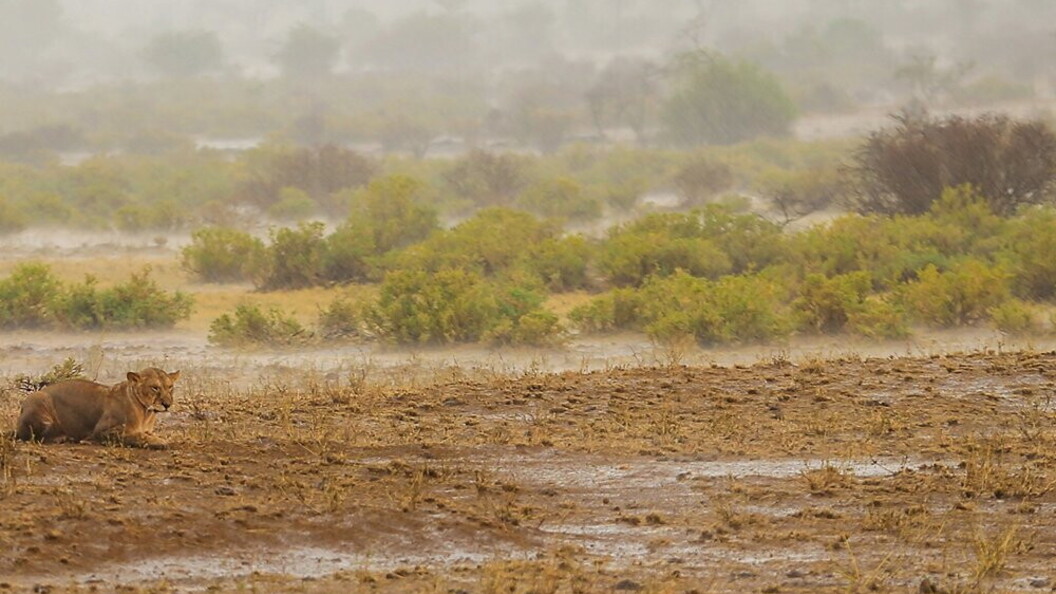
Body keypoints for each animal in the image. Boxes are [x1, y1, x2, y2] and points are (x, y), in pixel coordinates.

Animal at [15, 368, 180, 449]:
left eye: (170, 387)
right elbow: (135, 436)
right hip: (41, 403)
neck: (146, 413)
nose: (167, 404)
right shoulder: (103, 430)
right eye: (154, 388)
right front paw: (160, 442)